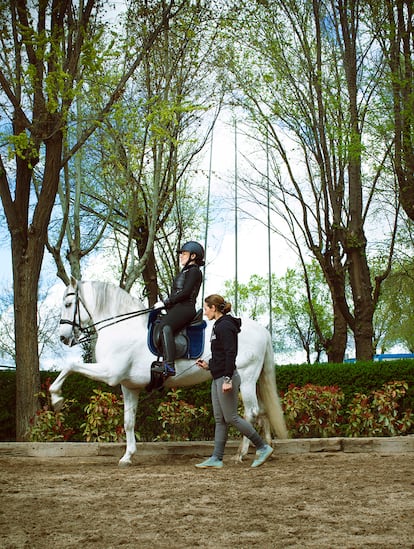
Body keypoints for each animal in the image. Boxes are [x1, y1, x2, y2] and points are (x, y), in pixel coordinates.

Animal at [50, 278, 288, 462]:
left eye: (69, 303)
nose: (63, 338)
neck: (121, 327)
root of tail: (262, 330)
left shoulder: (110, 372)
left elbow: (70, 365)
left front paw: (56, 398)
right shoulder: (128, 386)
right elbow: (128, 422)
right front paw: (127, 456)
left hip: (246, 379)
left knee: (251, 412)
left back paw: (241, 454)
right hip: (249, 380)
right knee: (263, 411)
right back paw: (266, 450)